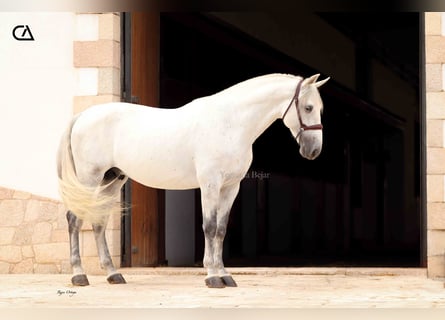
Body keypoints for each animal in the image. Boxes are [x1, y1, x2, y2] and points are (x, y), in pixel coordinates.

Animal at [56, 74, 326, 288]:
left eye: (319, 109)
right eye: (308, 107)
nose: (313, 151)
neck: (230, 122)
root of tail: (82, 116)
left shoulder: (231, 187)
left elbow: (221, 230)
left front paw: (225, 275)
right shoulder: (210, 183)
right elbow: (209, 227)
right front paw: (212, 277)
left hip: (112, 180)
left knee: (99, 223)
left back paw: (113, 274)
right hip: (89, 178)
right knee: (74, 220)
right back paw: (79, 275)